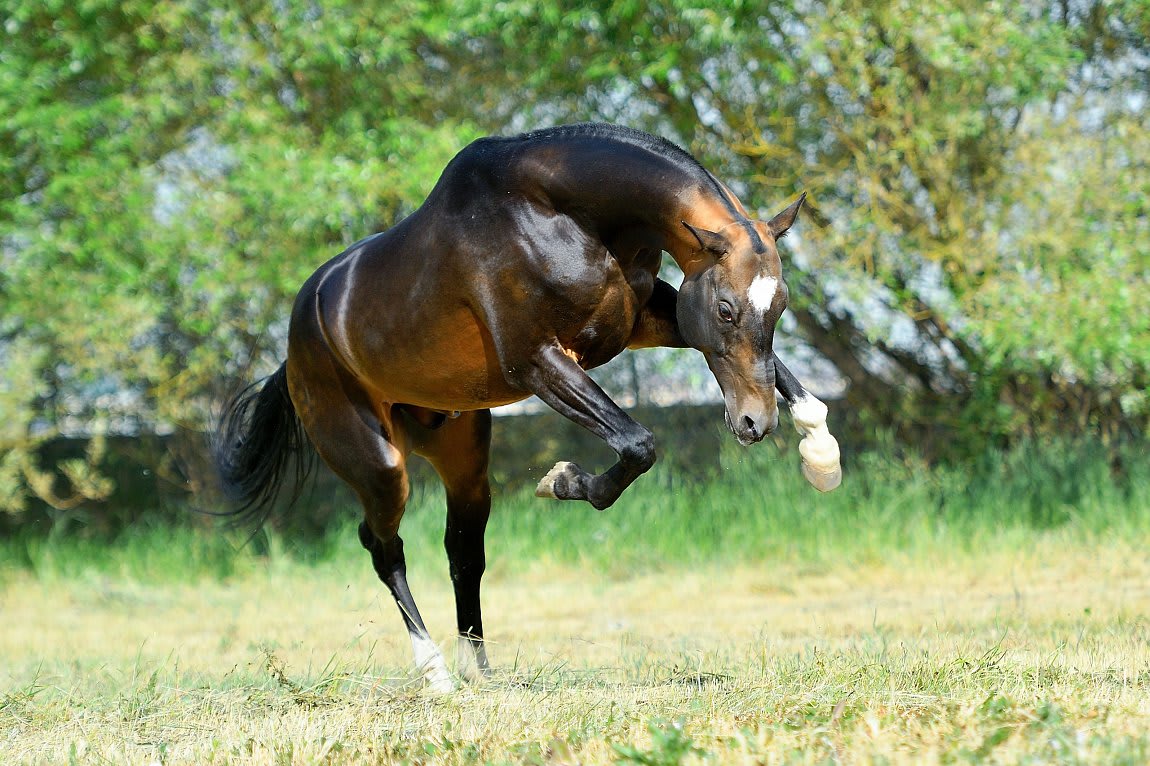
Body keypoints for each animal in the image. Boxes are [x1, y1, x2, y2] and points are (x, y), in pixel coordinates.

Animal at [214, 123, 841, 692]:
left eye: (780, 306)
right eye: (728, 308)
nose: (754, 424)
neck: (560, 212)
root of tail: (294, 348)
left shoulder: (646, 317)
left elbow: (779, 375)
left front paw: (821, 457)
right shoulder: (537, 361)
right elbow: (637, 444)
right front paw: (561, 481)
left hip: (464, 460)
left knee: (462, 551)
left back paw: (477, 669)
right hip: (379, 464)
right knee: (383, 548)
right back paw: (436, 673)